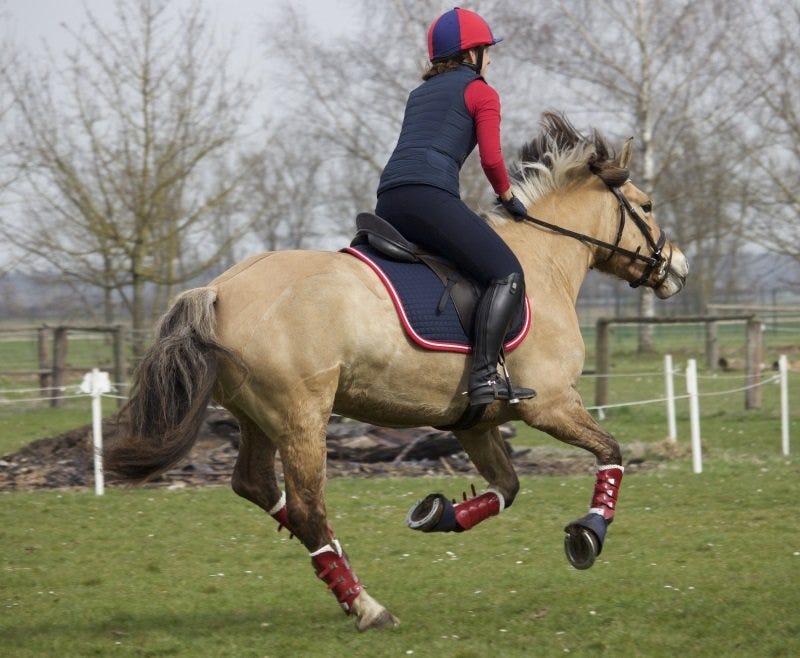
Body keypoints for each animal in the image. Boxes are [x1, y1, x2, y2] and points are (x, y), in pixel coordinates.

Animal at [104, 113, 688, 632]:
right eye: (647, 206)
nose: (678, 268)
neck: (543, 261)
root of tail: (218, 289)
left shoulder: (475, 423)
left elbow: (506, 486)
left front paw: (438, 514)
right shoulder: (551, 406)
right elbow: (611, 452)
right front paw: (588, 534)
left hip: (256, 417)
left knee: (258, 486)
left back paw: (339, 568)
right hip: (301, 419)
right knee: (307, 507)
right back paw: (367, 606)